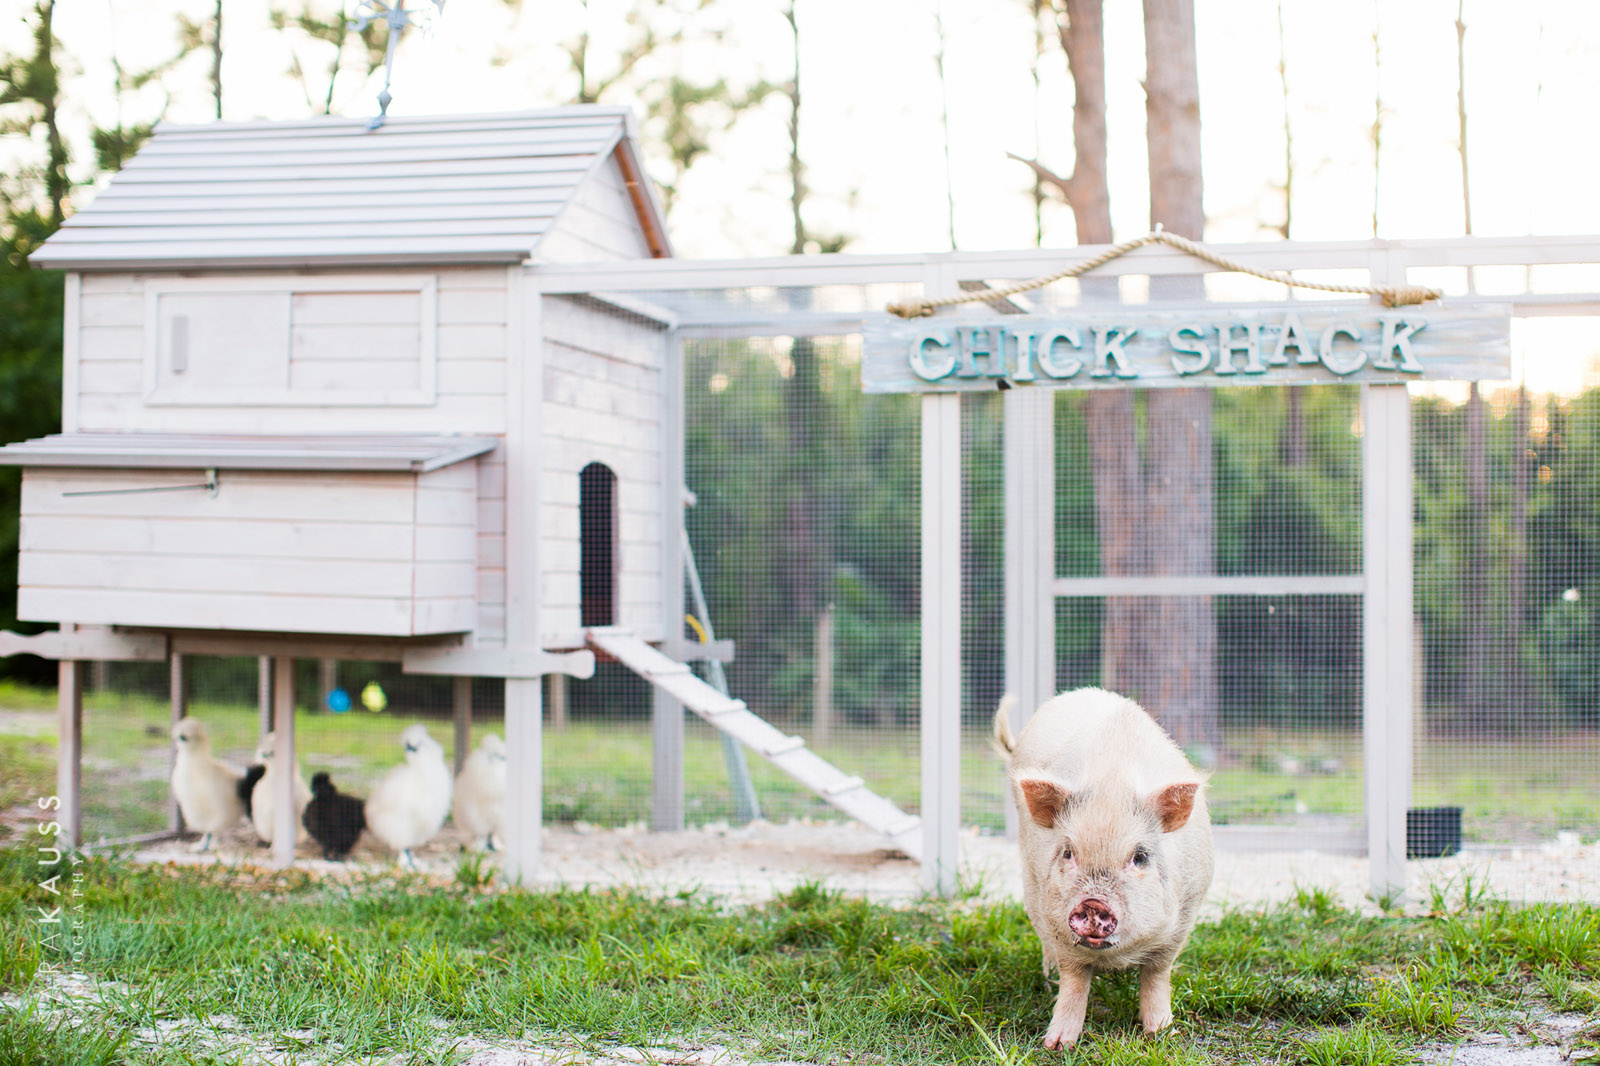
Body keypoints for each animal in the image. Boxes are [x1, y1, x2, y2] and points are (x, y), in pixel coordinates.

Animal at [985, 685, 1209, 1043]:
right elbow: (1075, 979)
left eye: (1140, 856)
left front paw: (1162, 1035)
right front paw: (1057, 1045)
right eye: (1068, 853)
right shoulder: (1056, 923)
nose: (1093, 903)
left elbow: (1157, 975)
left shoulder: (1185, 914)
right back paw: (1048, 982)